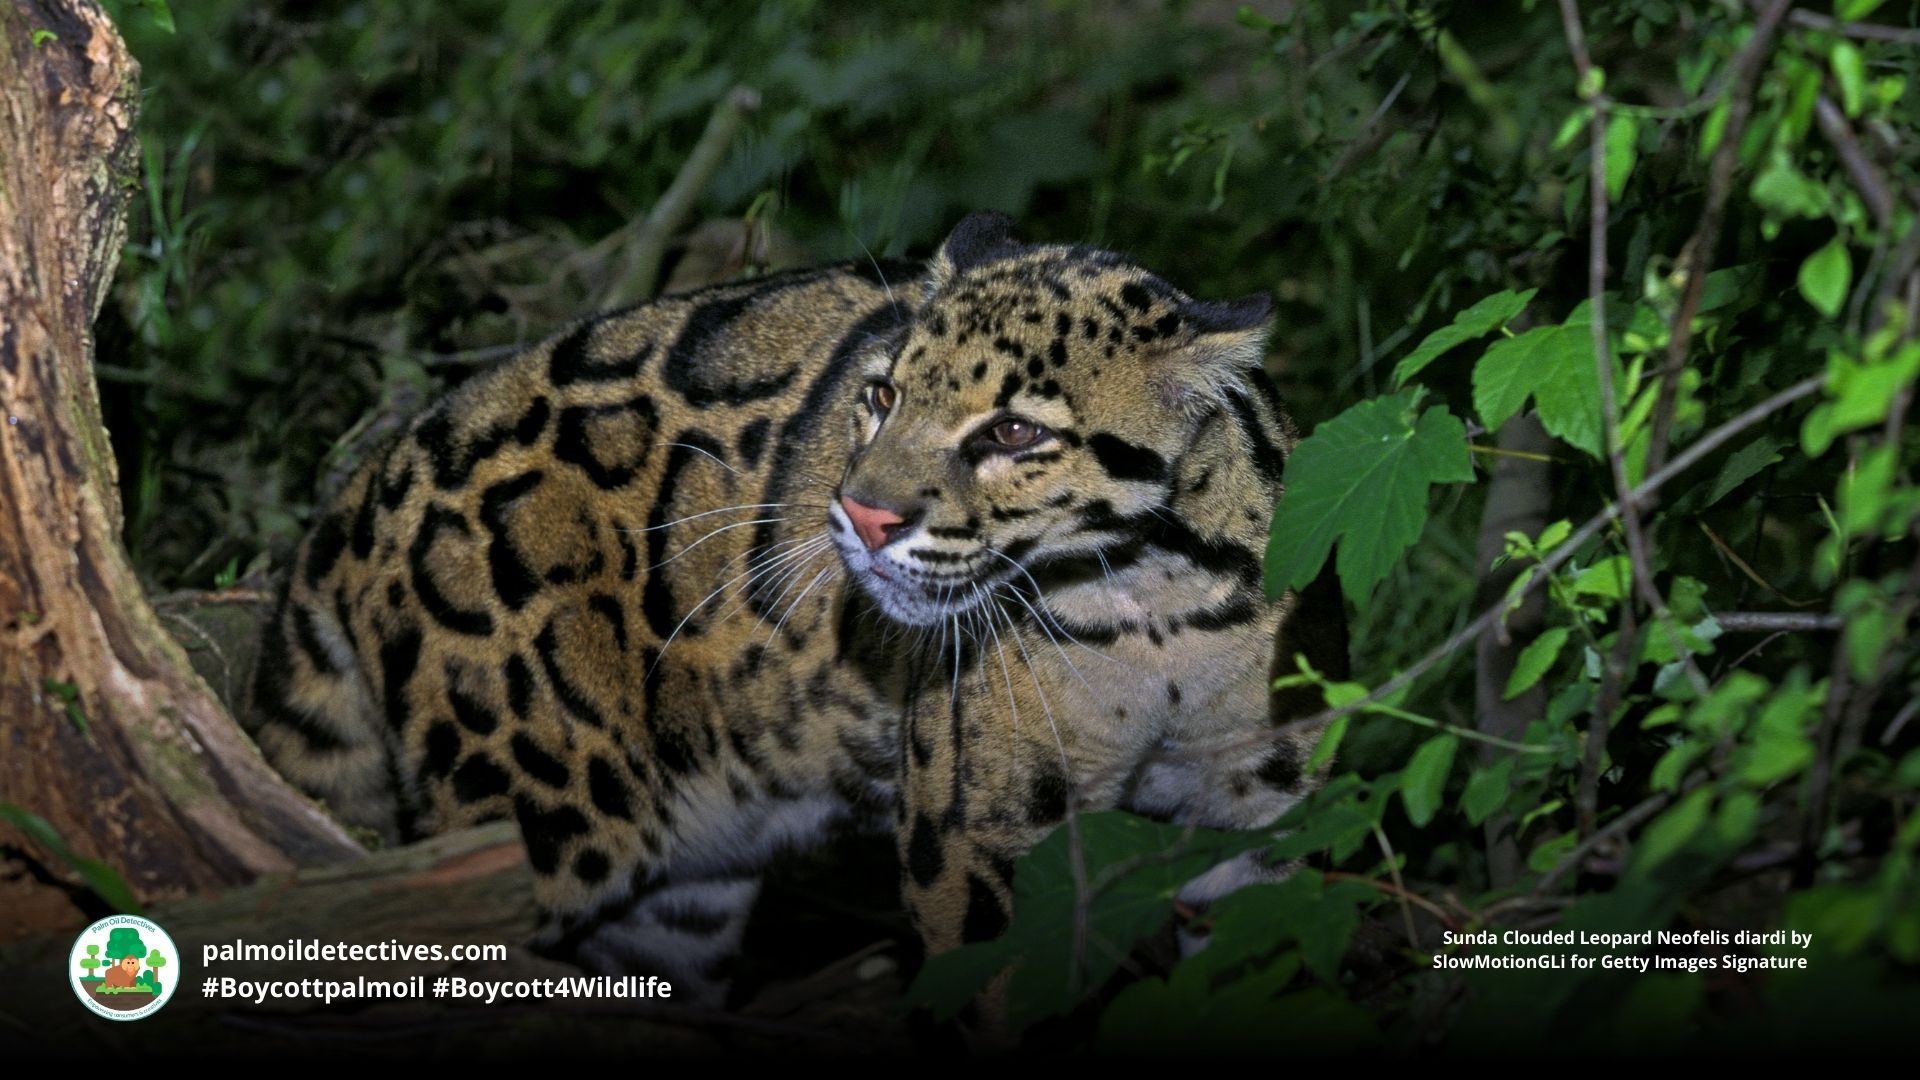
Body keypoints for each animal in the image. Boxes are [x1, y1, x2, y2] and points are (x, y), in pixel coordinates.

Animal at [246, 211, 1349, 1021]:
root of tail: (362, 489)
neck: (1149, 609)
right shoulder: (979, 835)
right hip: (521, 823)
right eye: (882, 395)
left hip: (670, 902)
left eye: (1013, 433)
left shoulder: (1271, 807)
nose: (859, 514)